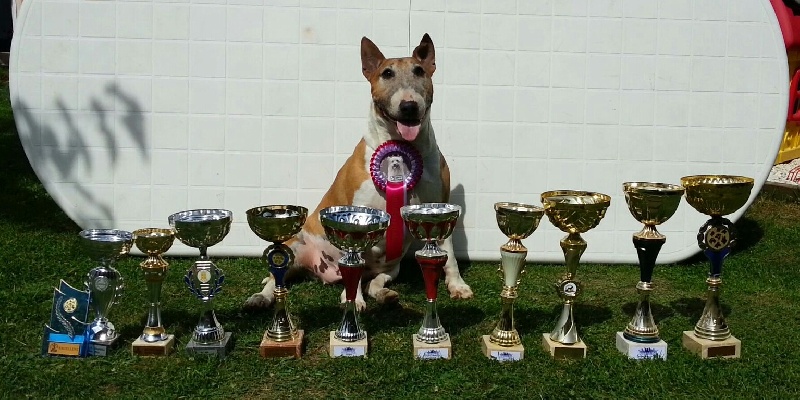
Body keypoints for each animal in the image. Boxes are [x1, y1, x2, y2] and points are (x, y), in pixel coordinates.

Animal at [247, 33, 472, 310]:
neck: (401, 148)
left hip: (392, 267)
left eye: (419, 71)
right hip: (294, 248)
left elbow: (450, 255)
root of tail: (325, 273)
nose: (409, 106)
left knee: (374, 281)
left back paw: (384, 294)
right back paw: (261, 297)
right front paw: (353, 301)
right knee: (275, 278)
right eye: (387, 73)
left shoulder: (439, 206)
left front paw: (458, 286)